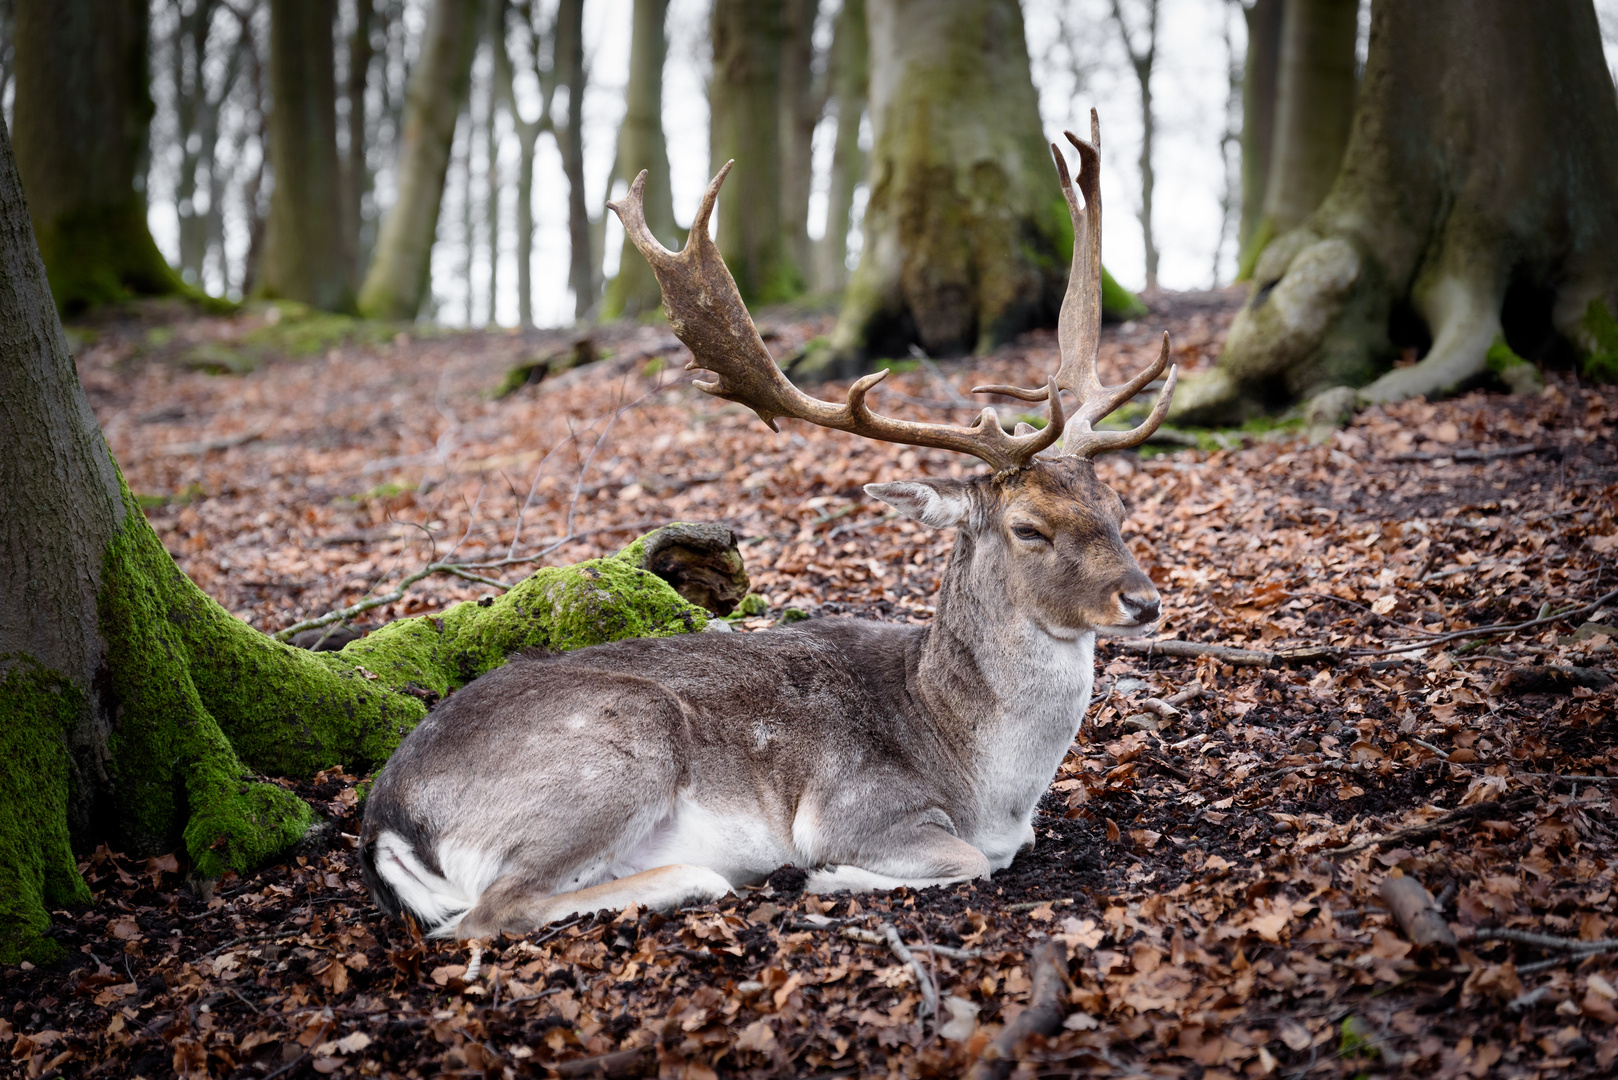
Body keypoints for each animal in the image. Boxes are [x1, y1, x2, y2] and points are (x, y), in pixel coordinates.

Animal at [364, 116, 1177, 939]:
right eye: (1028, 528)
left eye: (1117, 506)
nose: (1144, 601)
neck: (985, 779)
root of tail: (386, 818)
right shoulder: (855, 805)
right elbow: (967, 859)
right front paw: (827, 878)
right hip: (618, 748)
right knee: (487, 913)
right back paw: (702, 878)